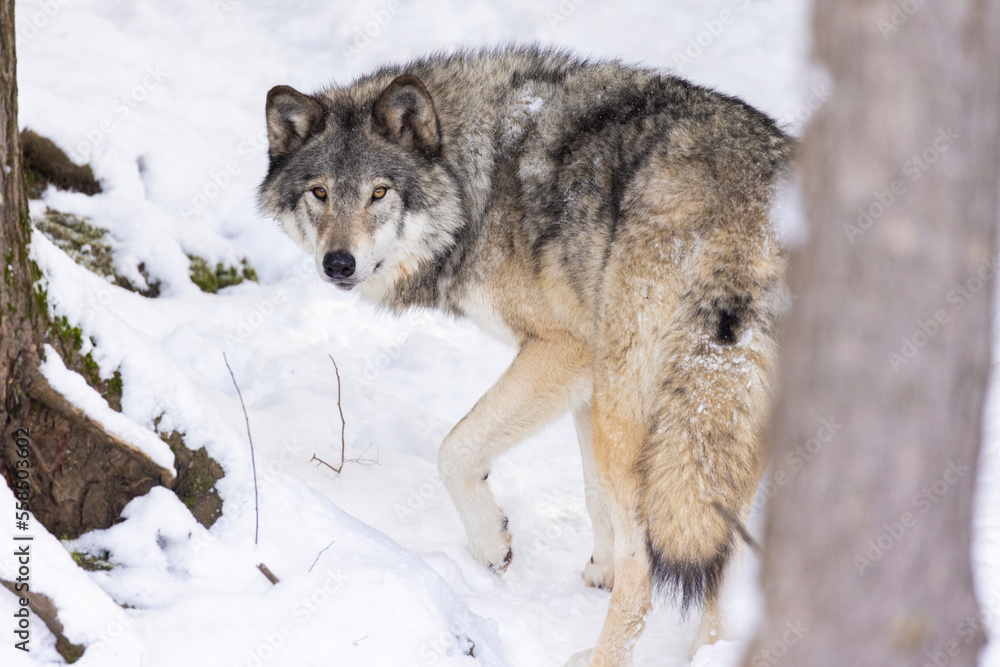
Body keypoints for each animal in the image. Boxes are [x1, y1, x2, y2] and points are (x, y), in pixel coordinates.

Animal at [258, 45, 792, 666]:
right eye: (319, 193)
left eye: (379, 193)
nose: (337, 263)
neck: (479, 184)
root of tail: (748, 199)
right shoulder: (586, 387)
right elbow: (592, 494)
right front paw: (598, 567)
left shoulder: (566, 352)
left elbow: (454, 449)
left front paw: (492, 543)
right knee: (716, 562)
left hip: (632, 411)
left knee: (647, 569)